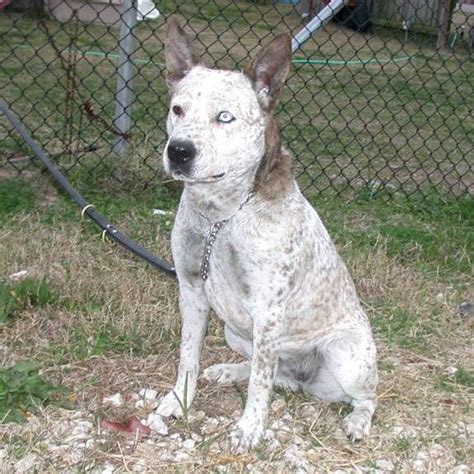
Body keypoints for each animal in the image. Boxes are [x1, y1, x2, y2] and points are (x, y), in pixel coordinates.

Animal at [156, 17, 378, 448]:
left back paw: (358, 421)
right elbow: (188, 355)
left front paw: (250, 428)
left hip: (345, 357)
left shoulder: (268, 310)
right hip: (234, 331)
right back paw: (231, 371)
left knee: (362, 395)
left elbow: (260, 384)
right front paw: (180, 400)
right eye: (178, 109)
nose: (179, 151)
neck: (222, 216)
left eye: (225, 117)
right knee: (276, 373)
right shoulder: (191, 290)